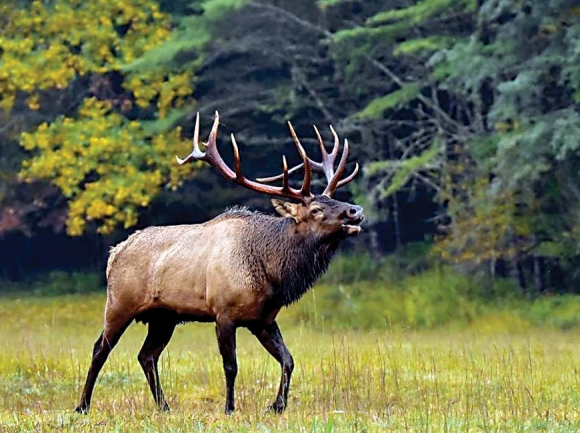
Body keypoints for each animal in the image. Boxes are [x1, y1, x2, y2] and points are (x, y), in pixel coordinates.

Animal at [75, 109, 364, 414]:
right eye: (316, 209)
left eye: (335, 199)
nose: (355, 210)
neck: (272, 275)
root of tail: (114, 253)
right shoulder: (224, 312)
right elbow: (231, 366)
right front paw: (229, 408)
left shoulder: (263, 318)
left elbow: (288, 359)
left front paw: (277, 405)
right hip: (119, 302)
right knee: (100, 349)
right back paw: (82, 405)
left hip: (164, 316)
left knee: (146, 355)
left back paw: (164, 406)